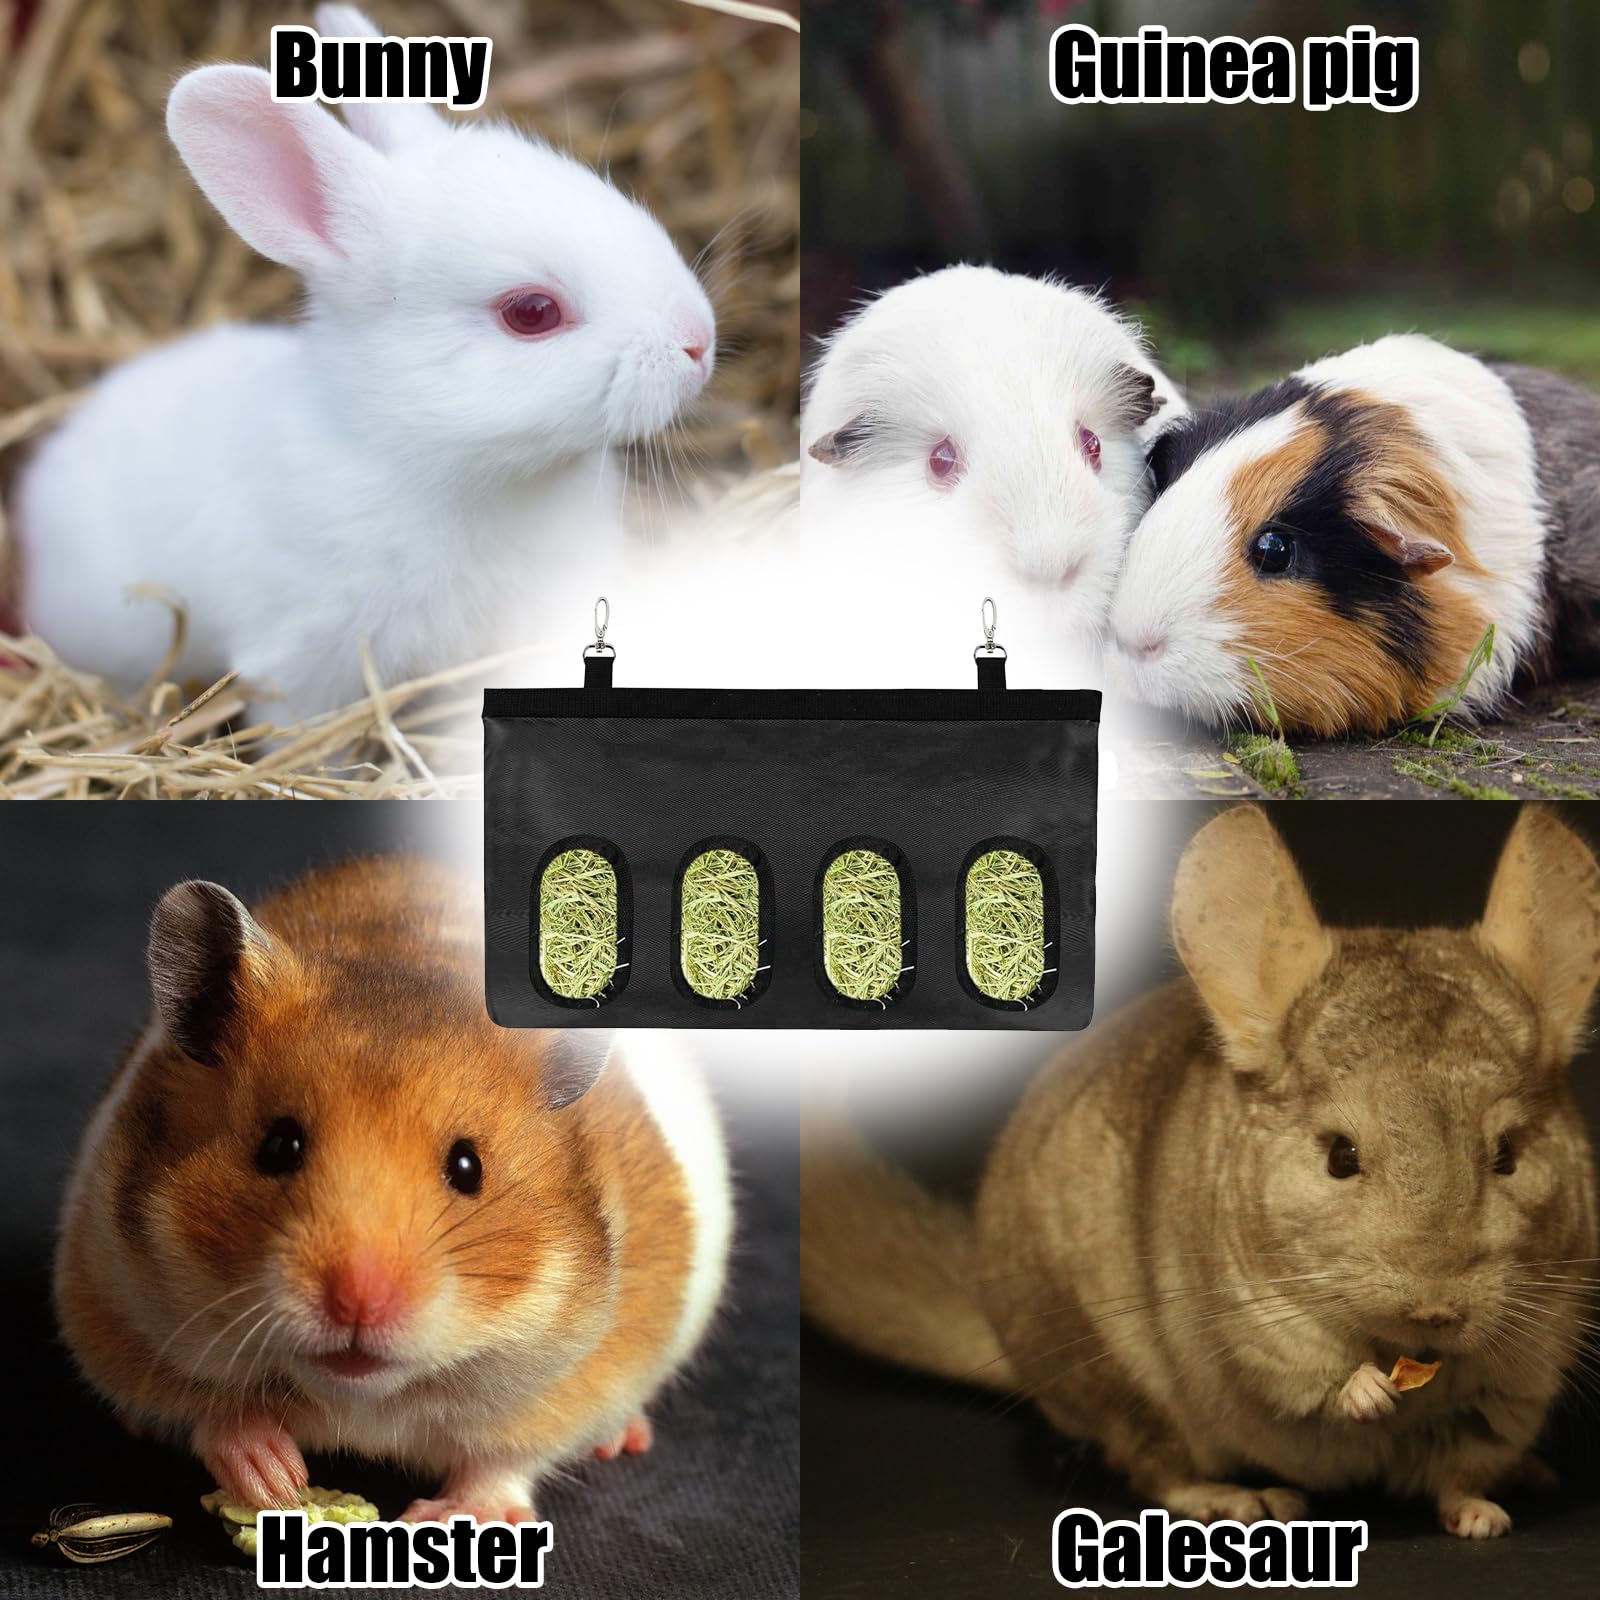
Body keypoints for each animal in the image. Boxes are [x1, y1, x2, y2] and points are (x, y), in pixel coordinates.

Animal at [54, 855, 732, 1523]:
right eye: (279, 1145)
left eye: (468, 1167)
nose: (358, 1304)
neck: (362, 1395)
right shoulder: (111, 1302)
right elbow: (209, 1410)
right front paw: (275, 1480)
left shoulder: (589, 1373)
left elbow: (506, 1461)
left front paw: (441, 1518)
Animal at [803, 805, 1600, 1538]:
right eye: (1340, 1156)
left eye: (1508, 1154)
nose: (1436, 1311)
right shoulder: (1257, 1319)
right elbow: (1311, 1376)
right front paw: (1367, 1394)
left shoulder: (1526, 1368)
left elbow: (1463, 1466)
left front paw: (1482, 1517)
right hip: (1117, 1376)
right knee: (1156, 1464)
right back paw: (1239, 1499)